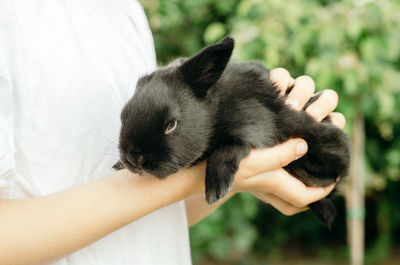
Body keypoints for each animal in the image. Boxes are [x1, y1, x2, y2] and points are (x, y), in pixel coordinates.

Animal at [115, 36, 350, 227]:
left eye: (171, 125)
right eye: (123, 115)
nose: (134, 158)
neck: (214, 108)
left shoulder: (255, 124)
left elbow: (226, 151)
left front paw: (216, 188)